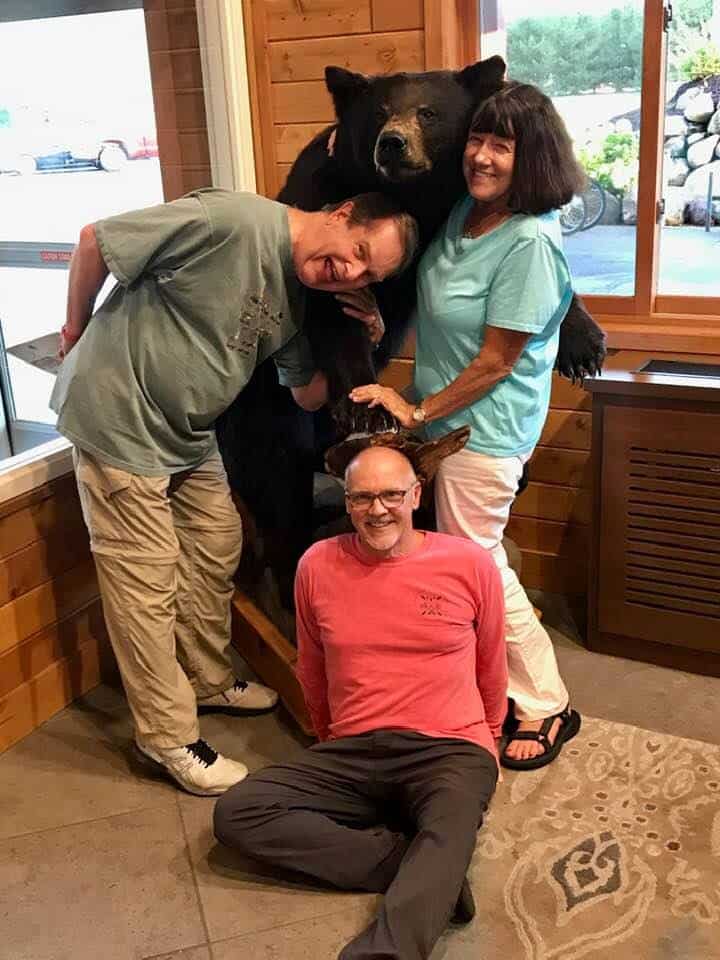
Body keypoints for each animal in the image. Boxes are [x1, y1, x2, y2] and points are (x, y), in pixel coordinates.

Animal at [217, 56, 604, 600]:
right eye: (379, 112)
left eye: (428, 113)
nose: (392, 143)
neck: (413, 197)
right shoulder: (320, 205)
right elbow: (336, 318)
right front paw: (369, 404)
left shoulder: (447, 219)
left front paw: (583, 343)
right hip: (265, 418)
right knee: (277, 497)